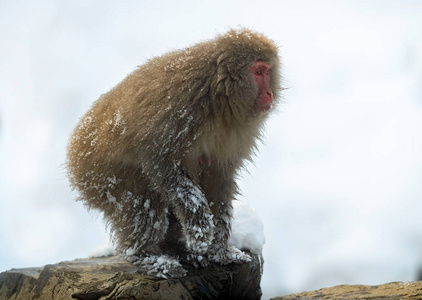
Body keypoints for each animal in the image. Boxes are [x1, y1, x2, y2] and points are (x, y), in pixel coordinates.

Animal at [67, 28, 280, 278]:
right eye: (259, 72)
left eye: (268, 71)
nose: (269, 92)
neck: (219, 98)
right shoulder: (182, 104)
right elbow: (160, 160)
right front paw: (200, 227)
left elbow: (219, 179)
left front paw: (219, 251)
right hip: (100, 177)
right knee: (141, 201)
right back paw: (148, 255)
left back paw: (176, 249)